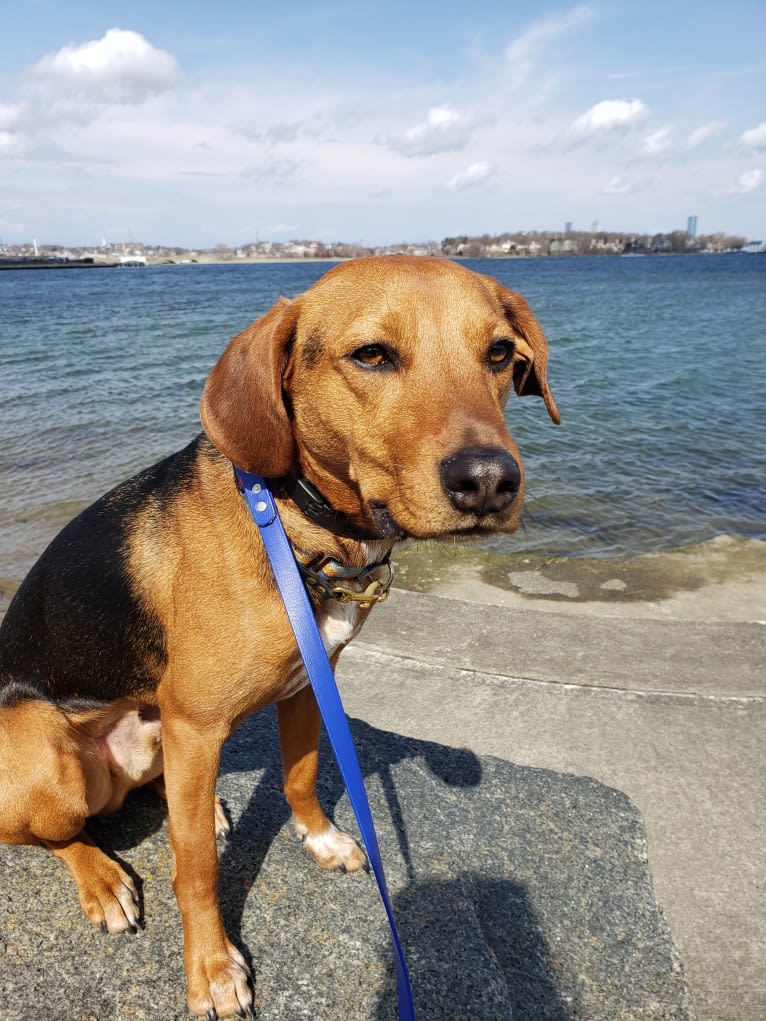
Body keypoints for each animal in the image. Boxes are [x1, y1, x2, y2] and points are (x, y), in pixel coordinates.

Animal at [1, 253, 563, 1012]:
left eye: (499, 353)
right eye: (372, 355)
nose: (489, 480)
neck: (307, 538)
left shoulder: (306, 687)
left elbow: (299, 778)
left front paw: (319, 840)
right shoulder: (197, 722)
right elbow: (196, 872)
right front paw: (211, 968)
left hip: (158, 734)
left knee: (153, 794)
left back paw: (198, 806)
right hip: (53, 762)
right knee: (59, 832)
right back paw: (104, 878)